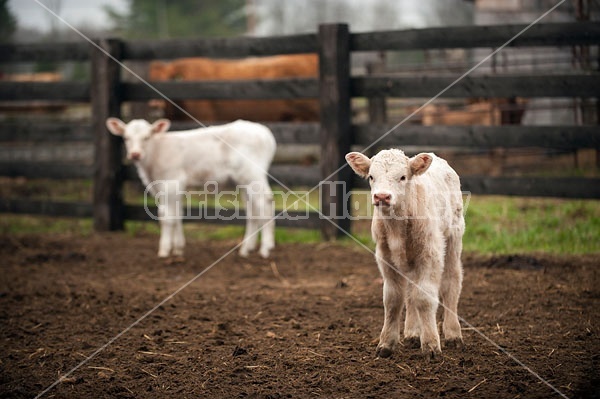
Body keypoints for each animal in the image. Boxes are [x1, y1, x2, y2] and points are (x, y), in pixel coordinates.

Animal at [106, 118, 276, 260]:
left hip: (252, 175)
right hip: (244, 182)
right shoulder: (168, 188)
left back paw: (266, 248)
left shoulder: (171, 182)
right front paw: (178, 248)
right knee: (252, 210)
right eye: (126, 138)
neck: (156, 153)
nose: (135, 154)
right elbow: (177, 215)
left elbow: (167, 217)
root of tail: (265, 133)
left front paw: (164, 250)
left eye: (146, 137)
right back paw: (246, 249)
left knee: (265, 203)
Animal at [344, 149, 466, 360]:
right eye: (371, 176)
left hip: (453, 239)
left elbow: (424, 298)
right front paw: (386, 344)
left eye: (402, 177)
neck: (397, 226)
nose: (382, 196)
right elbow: (393, 299)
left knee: (451, 283)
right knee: (410, 292)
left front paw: (431, 345)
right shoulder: (385, 257)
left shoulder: (430, 254)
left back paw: (453, 334)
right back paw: (412, 333)